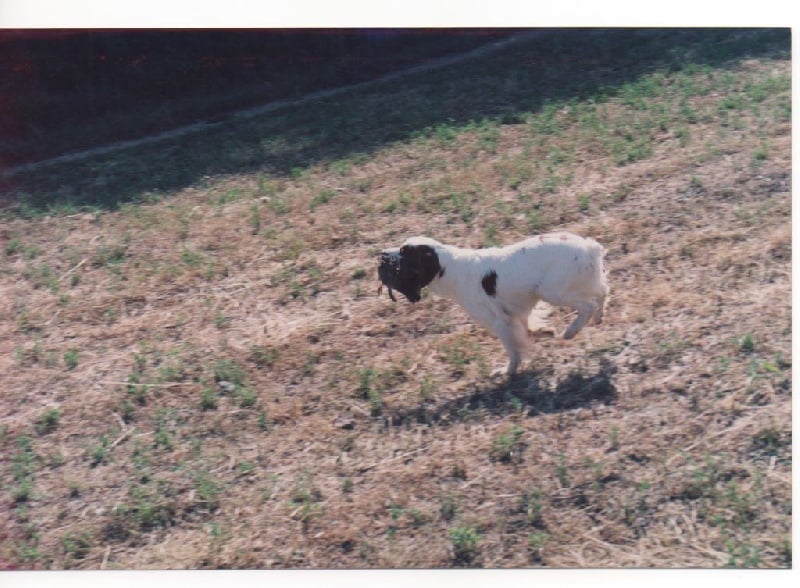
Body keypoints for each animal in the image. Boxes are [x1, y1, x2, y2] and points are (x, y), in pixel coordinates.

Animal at [378, 232, 608, 375]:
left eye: (404, 251)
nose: (382, 254)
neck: (449, 268)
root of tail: (589, 247)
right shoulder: (515, 314)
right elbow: (528, 330)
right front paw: (544, 332)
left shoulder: (499, 321)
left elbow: (514, 350)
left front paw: (508, 371)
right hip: (576, 284)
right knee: (603, 292)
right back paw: (598, 318)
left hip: (552, 291)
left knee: (588, 305)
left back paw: (571, 331)